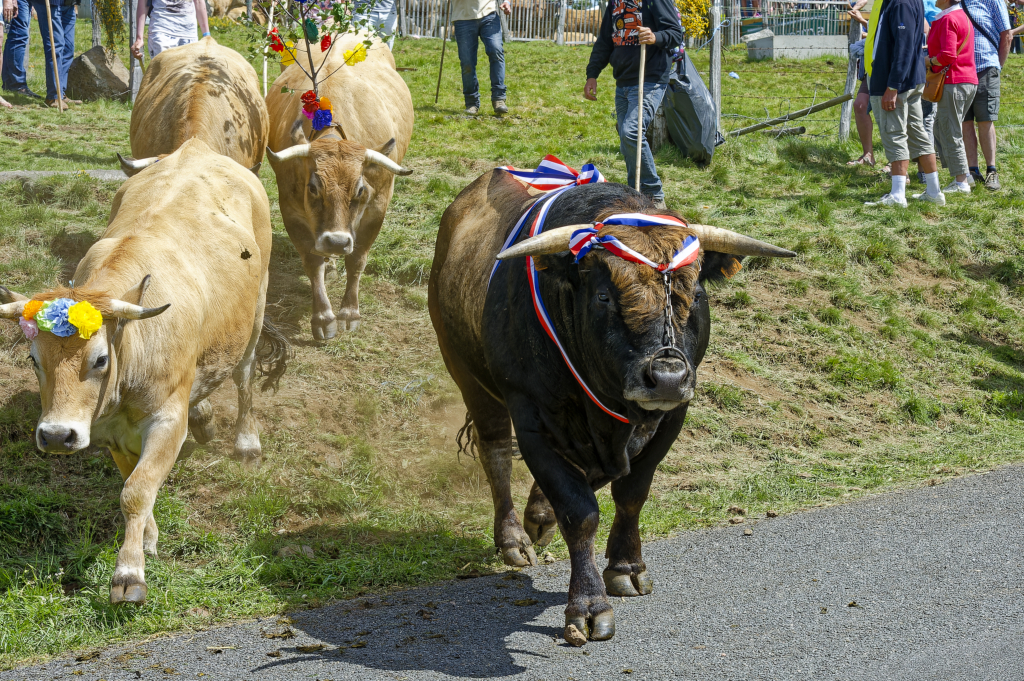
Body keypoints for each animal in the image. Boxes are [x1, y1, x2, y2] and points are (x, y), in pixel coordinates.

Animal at [0, 137, 288, 602]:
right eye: (32, 359)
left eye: (100, 359)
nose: (57, 436)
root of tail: (196, 147)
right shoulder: (109, 431)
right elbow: (135, 483)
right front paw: (148, 537)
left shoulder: (168, 419)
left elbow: (135, 490)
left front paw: (129, 573)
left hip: (256, 314)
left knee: (244, 379)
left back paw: (246, 442)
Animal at [266, 32, 413, 339]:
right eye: (313, 188)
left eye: (360, 189)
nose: (336, 241)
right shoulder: (291, 209)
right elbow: (312, 262)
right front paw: (323, 317)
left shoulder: (378, 206)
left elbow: (357, 259)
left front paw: (349, 311)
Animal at [423, 169, 790, 643]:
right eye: (603, 297)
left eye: (695, 294)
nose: (667, 376)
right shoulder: (532, 419)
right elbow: (579, 510)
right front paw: (588, 603)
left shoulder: (671, 416)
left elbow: (630, 491)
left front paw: (626, 566)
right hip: (468, 375)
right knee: (496, 452)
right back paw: (512, 539)